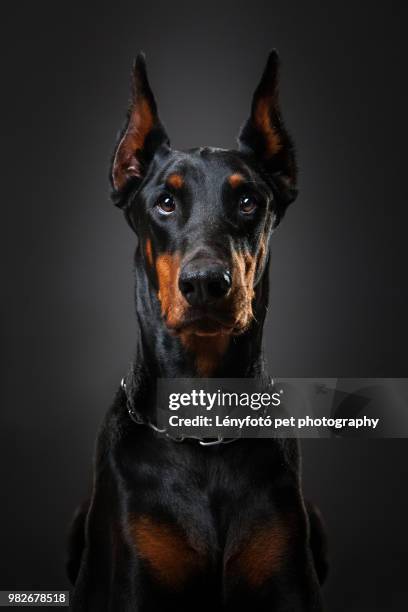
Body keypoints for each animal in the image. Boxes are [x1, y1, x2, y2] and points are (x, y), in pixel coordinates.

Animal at [67, 51, 328, 608]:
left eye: (249, 200)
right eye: (165, 202)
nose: (207, 283)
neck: (204, 426)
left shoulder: (290, 573)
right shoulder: (136, 577)